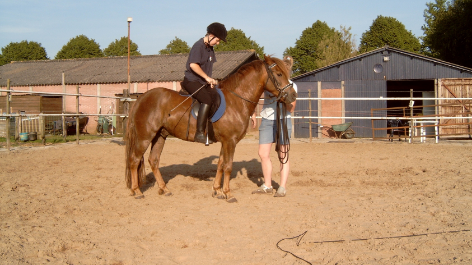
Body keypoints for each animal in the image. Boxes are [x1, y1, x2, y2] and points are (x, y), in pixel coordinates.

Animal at [124, 54, 296, 201]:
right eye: (279, 74)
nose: (293, 96)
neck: (236, 99)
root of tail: (141, 98)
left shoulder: (225, 142)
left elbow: (220, 165)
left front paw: (217, 191)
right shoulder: (230, 141)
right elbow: (228, 166)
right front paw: (228, 193)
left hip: (160, 135)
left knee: (153, 160)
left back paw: (164, 189)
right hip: (144, 137)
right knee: (134, 160)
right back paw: (137, 191)